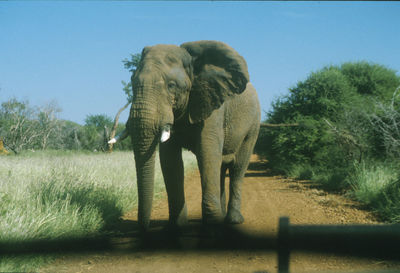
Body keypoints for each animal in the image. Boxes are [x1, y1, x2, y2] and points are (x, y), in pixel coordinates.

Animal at [120, 40, 260, 231]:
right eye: (132, 83)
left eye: (171, 86)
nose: (144, 228)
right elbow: (170, 161)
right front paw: (176, 226)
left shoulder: (213, 107)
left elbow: (207, 154)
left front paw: (213, 225)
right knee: (221, 168)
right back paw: (223, 215)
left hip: (253, 125)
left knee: (238, 168)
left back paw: (232, 220)